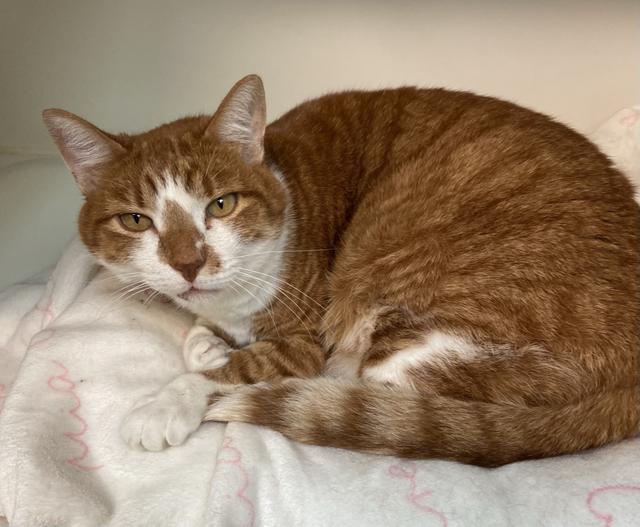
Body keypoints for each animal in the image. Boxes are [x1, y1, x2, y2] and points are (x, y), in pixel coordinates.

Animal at [42, 74, 636, 466]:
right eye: (136, 220)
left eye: (221, 205)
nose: (188, 263)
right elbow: (199, 338)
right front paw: (207, 341)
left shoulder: (304, 340)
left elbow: (236, 369)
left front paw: (168, 400)